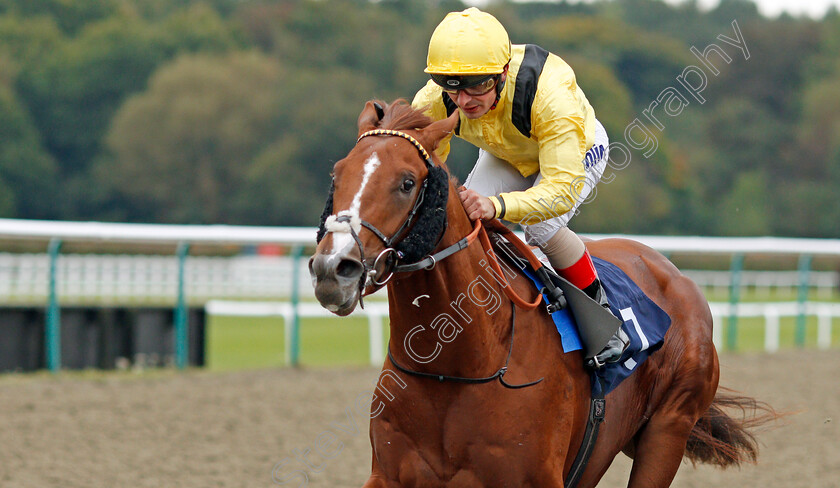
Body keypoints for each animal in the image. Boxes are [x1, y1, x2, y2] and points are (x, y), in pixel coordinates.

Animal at [310, 100, 776, 488]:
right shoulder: (390, 475)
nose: (333, 269)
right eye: (336, 174)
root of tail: (675, 274)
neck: (459, 363)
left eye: (407, 182)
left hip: (668, 429)